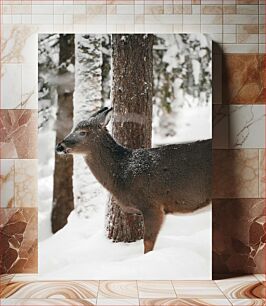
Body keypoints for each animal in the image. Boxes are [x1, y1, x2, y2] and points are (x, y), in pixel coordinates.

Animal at [56, 107, 212, 253]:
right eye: (73, 129)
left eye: (83, 132)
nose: (59, 146)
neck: (123, 173)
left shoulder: (152, 205)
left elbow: (147, 243)